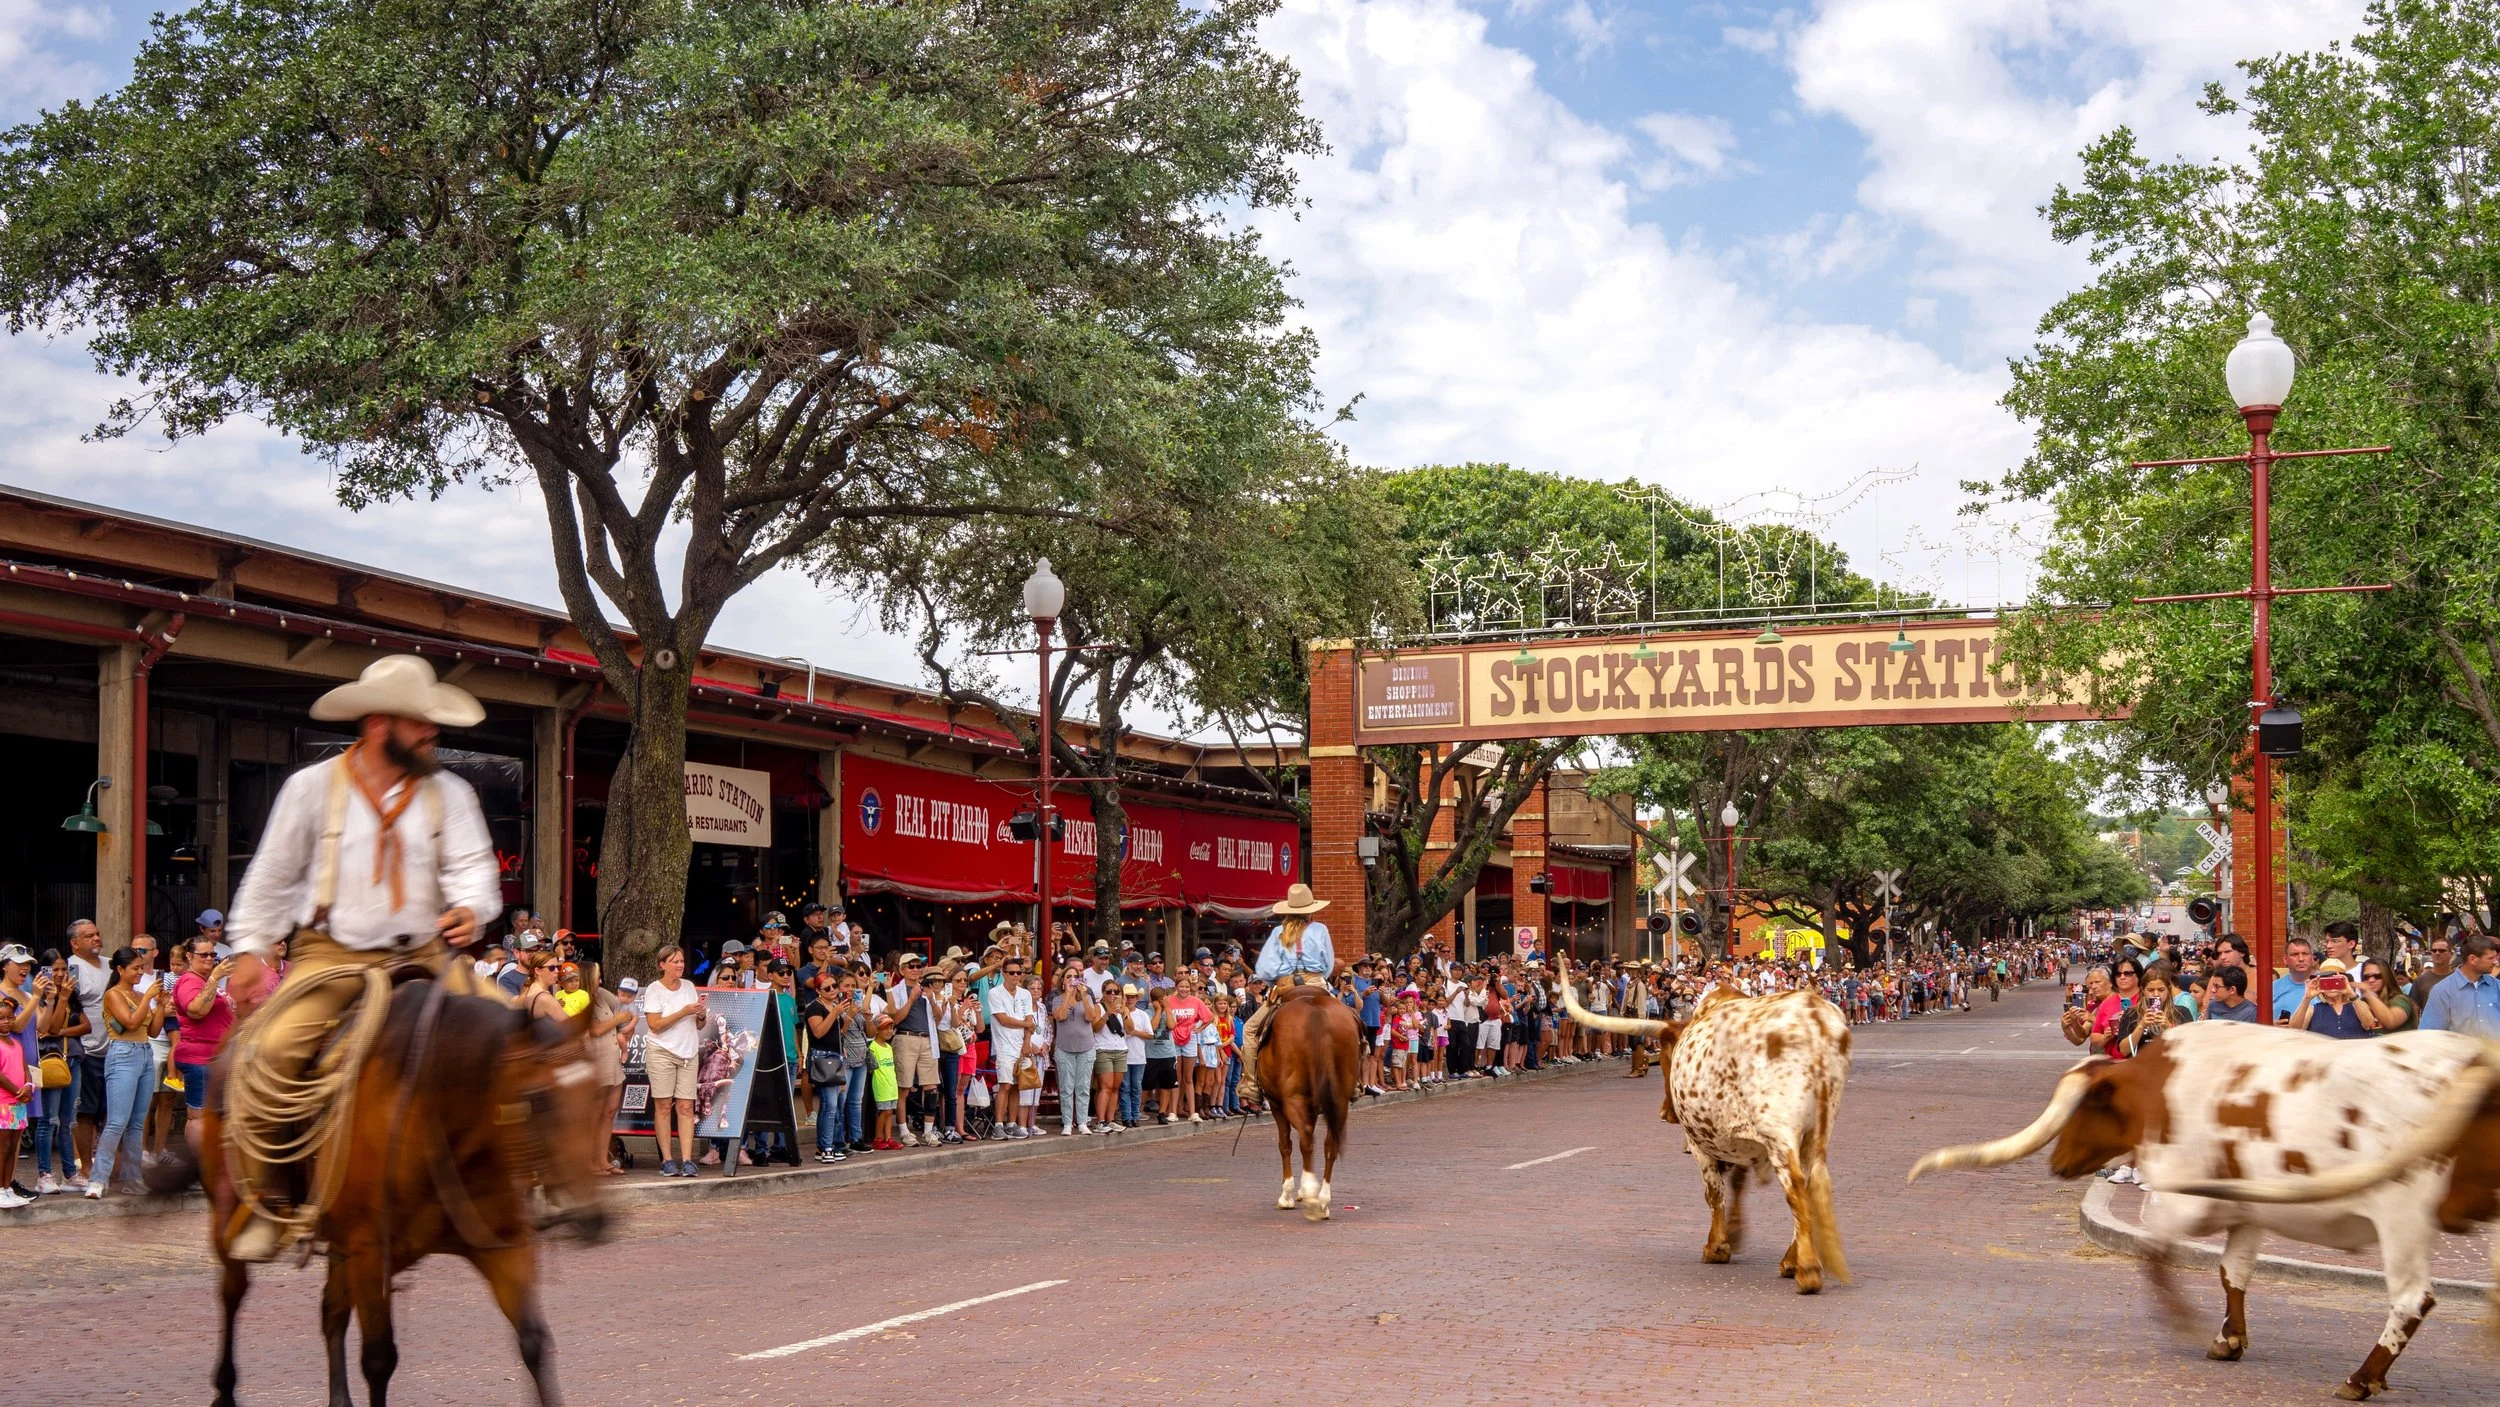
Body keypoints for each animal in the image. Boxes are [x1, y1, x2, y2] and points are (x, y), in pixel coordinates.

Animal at [197, 979, 612, 1407]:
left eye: (595, 1093)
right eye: (537, 1098)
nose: (592, 1218)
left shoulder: (503, 1245)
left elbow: (533, 1342)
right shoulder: (369, 1252)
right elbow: (379, 1359)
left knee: (331, 1311)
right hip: (229, 1220)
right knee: (232, 1293)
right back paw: (224, 1388)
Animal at [1260, 989, 1360, 1224]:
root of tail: (1316, 1012)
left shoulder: (1276, 1103)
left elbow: (1285, 1144)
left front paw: (1288, 1195)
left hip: (1293, 1097)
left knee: (1305, 1138)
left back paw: (1310, 1194)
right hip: (1340, 1100)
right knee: (1330, 1144)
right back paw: (1322, 1200)